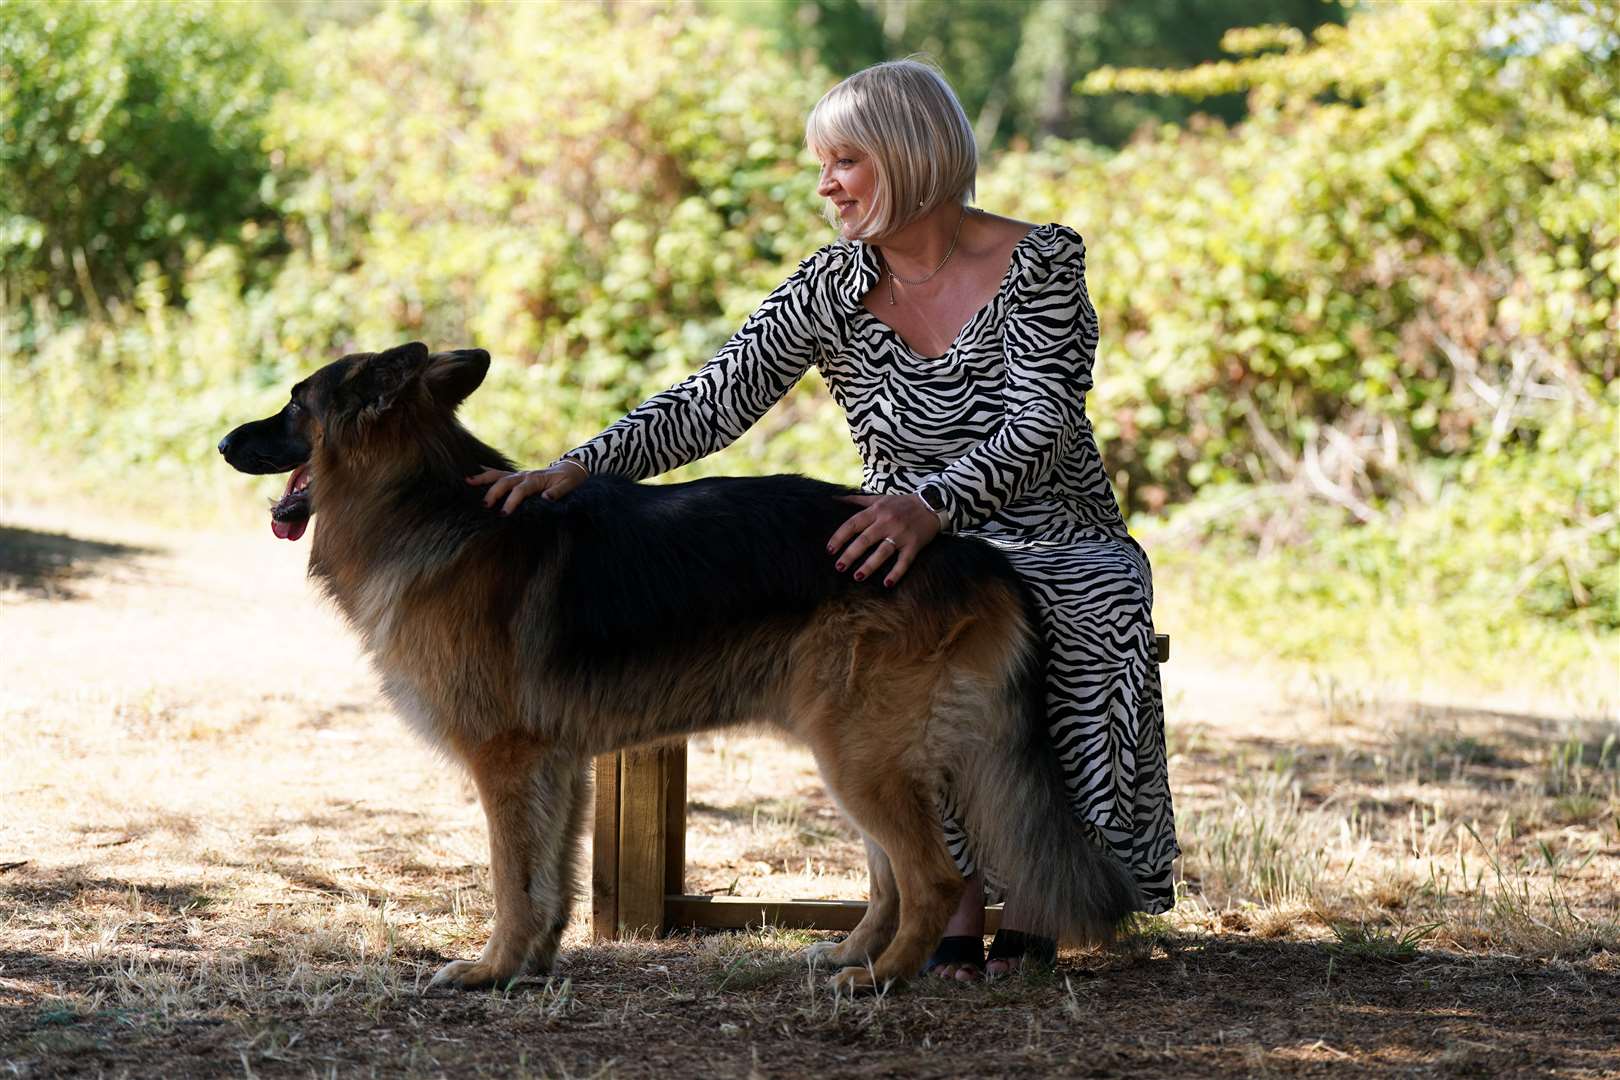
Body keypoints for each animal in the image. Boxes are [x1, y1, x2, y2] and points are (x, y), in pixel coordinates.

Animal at [218, 341, 1140, 990]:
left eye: (294, 402)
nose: (225, 441)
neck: (420, 500)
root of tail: (967, 551)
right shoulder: (560, 764)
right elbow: (550, 878)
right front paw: (531, 968)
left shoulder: (505, 762)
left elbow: (511, 879)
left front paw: (489, 970)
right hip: (861, 758)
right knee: (891, 878)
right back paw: (851, 955)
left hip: (861, 758)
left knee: (937, 877)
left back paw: (883, 980)